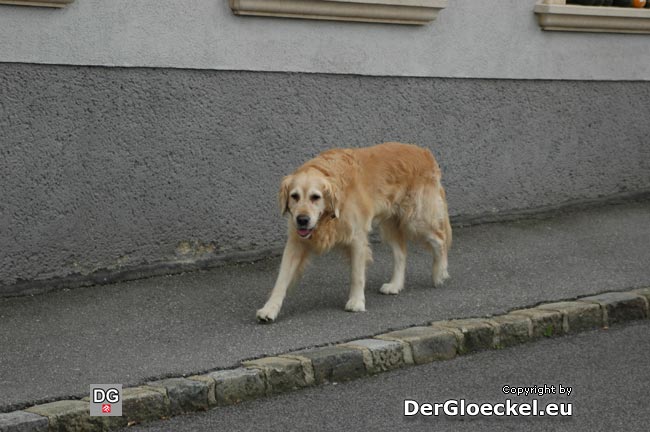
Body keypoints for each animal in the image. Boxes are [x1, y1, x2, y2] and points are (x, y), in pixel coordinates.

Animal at [254, 142, 450, 320]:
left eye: (315, 197)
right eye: (294, 196)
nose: (302, 220)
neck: (329, 215)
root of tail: (425, 153)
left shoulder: (357, 238)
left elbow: (357, 274)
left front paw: (356, 302)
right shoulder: (296, 242)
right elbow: (281, 279)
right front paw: (270, 309)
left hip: (416, 220)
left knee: (440, 240)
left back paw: (439, 274)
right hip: (389, 224)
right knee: (401, 252)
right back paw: (395, 284)